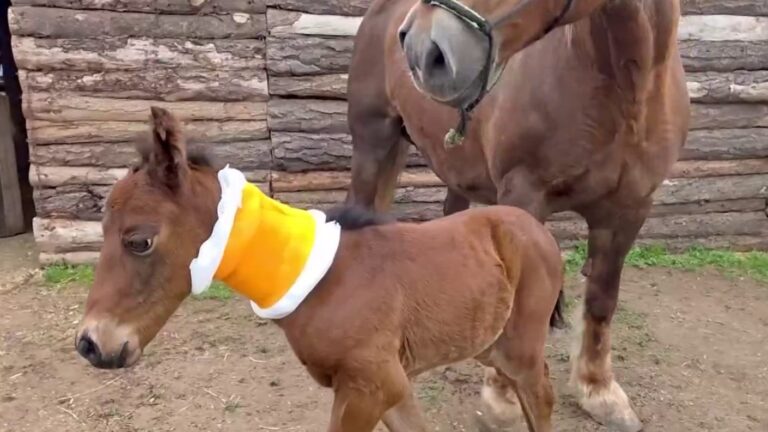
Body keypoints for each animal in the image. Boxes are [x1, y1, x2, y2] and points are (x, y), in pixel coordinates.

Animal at [74, 107, 565, 432]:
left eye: (139, 241)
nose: (91, 344)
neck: (325, 282)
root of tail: (535, 228)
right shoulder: (390, 386)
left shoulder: (372, 386)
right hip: (487, 343)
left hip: (518, 347)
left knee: (540, 395)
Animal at [345, 0, 691, 430]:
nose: (422, 48)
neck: (625, 90)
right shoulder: (524, 197)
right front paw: (501, 399)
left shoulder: (628, 210)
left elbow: (602, 300)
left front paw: (599, 391)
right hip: (374, 142)